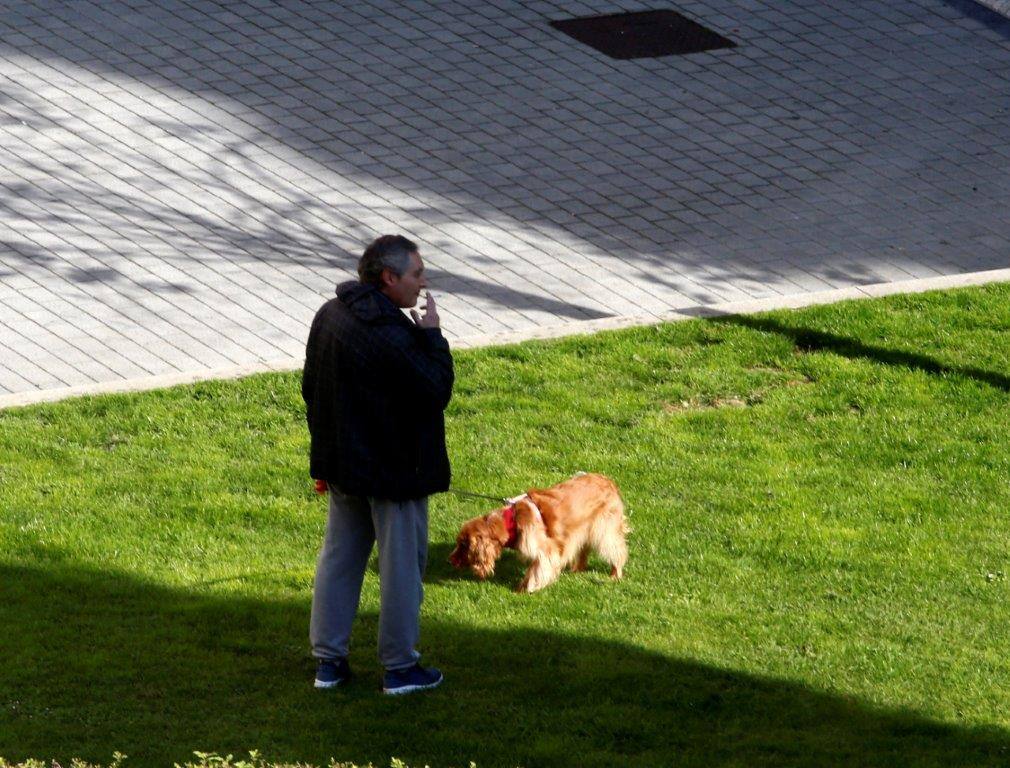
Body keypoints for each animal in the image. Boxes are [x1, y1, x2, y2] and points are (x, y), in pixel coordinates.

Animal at [452, 474, 626, 594]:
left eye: (463, 545)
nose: (450, 560)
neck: (511, 522)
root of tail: (609, 481)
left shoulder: (546, 550)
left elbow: (535, 571)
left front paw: (522, 590)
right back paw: (577, 569)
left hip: (605, 530)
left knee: (618, 551)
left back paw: (615, 574)